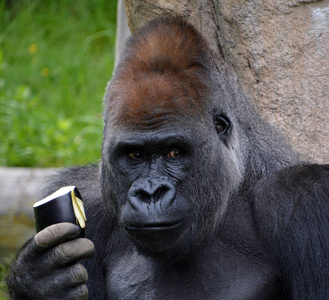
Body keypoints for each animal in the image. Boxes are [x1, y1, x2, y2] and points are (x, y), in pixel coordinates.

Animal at [5, 17, 328, 300]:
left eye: (174, 152)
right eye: (134, 155)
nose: (150, 193)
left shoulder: (301, 199)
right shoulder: (88, 199)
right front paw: (38, 280)